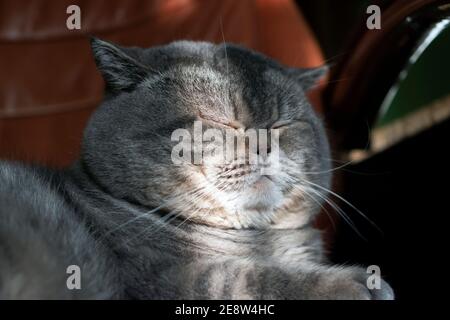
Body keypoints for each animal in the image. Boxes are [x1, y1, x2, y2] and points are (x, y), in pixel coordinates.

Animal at [0, 38, 394, 300]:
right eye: (221, 122)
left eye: (283, 124)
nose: (264, 145)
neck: (261, 240)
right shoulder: (160, 278)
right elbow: (249, 279)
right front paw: (358, 283)